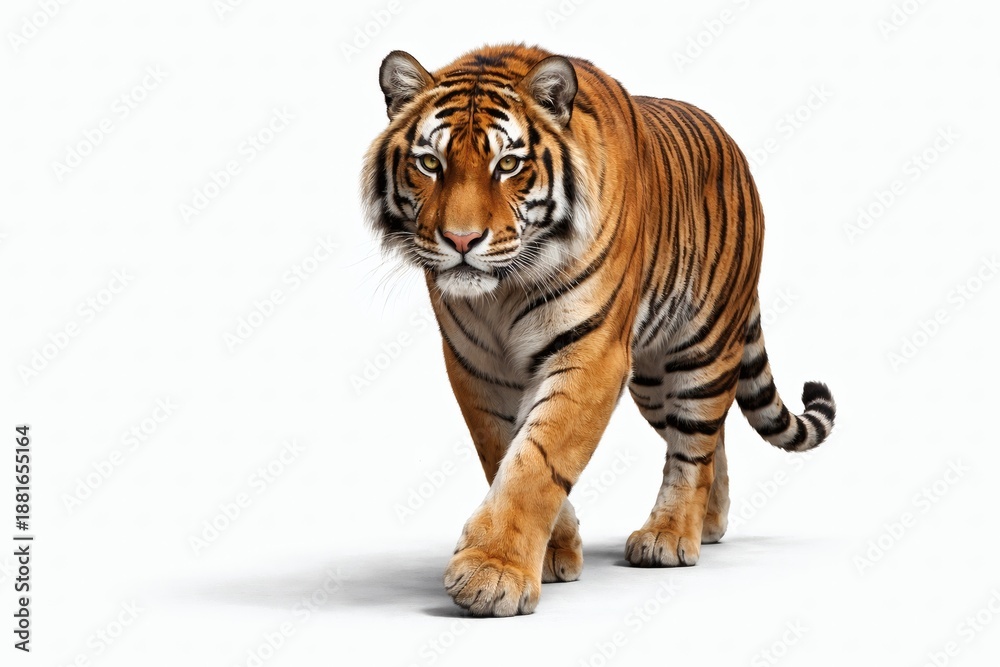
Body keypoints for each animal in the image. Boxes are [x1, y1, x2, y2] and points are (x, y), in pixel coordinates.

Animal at [361, 43, 836, 617]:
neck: (504, 289)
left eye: (508, 164)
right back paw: (708, 523)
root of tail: (732, 145)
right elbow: (504, 451)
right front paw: (552, 553)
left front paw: (494, 573)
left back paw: (670, 536)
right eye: (430, 163)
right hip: (651, 382)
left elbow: (538, 460)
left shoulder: (592, 354)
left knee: (694, 446)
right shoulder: (476, 365)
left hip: (702, 348)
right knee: (712, 441)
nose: (461, 240)